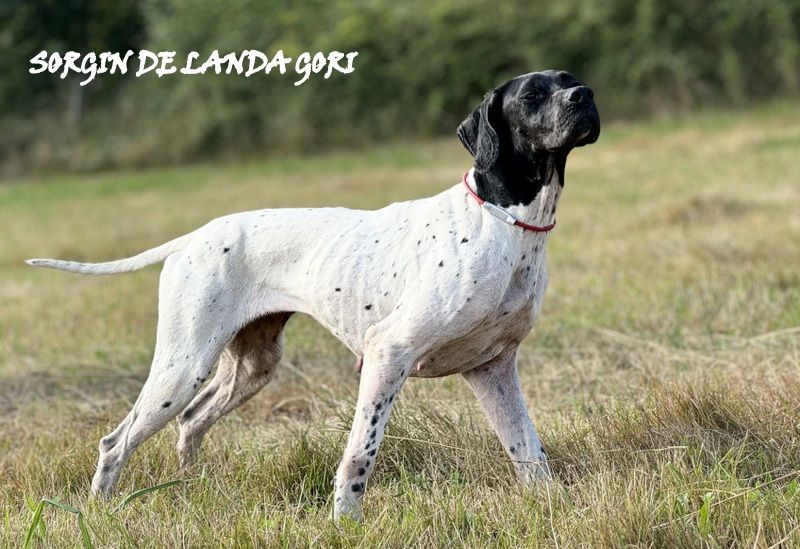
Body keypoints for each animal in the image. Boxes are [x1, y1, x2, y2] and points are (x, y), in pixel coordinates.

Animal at [26, 70, 600, 520]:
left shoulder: (493, 369)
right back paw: (99, 513)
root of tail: (193, 237)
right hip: (182, 365)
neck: (504, 224)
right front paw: (346, 521)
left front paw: (554, 509)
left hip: (252, 366)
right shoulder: (388, 353)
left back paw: (189, 490)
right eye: (533, 94)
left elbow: (530, 453)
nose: (586, 95)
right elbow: (360, 453)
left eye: (570, 80)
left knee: (191, 424)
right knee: (115, 442)